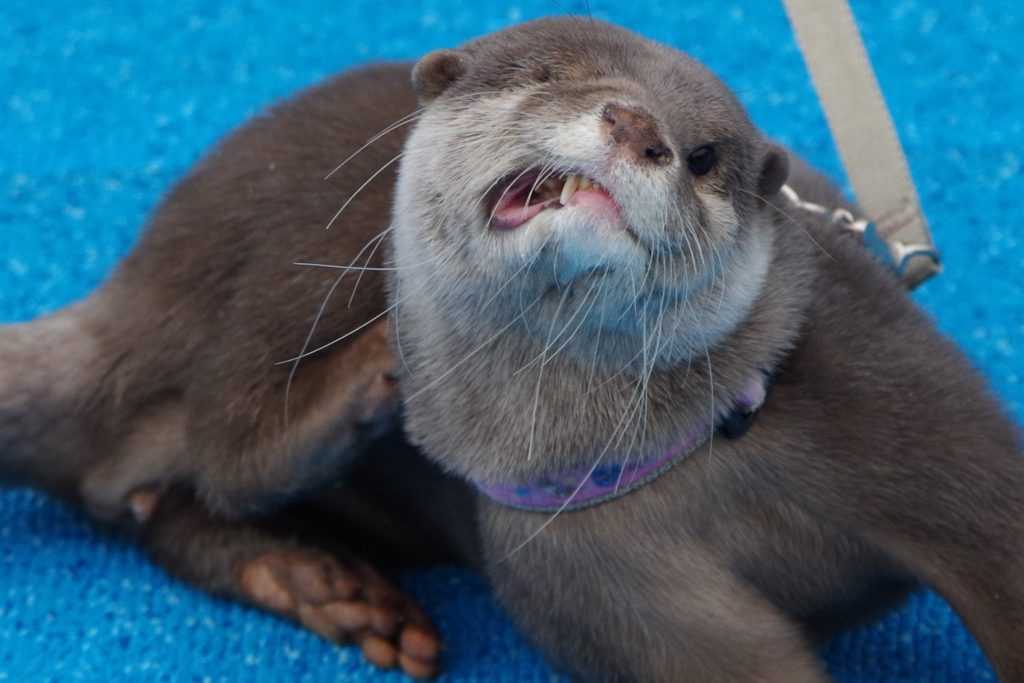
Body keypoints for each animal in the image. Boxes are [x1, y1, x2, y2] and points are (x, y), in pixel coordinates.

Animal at [2, 15, 1024, 683]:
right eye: (546, 74)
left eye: (704, 157)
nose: (635, 124)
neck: (705, 448)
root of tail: (138, 281)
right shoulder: (605, 590)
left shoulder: (913, 414)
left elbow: (995, 537)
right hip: (282, 268)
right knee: (223, 438)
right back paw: (359, 405)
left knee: (150, 501)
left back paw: (320, 582)